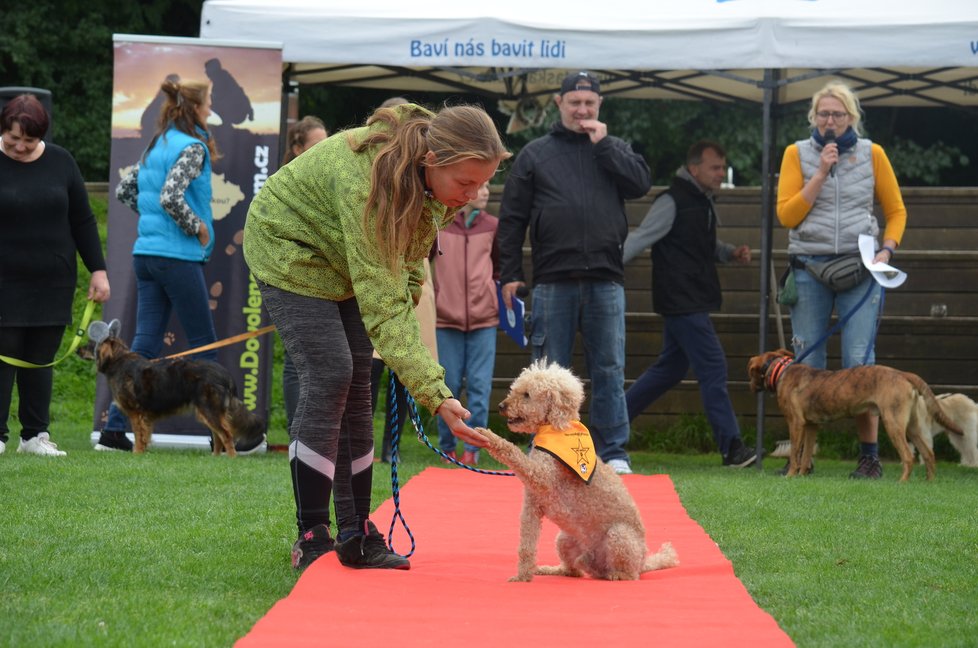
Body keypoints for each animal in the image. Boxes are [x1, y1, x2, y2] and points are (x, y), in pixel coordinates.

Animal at [90, 320, 264, 456]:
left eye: (92, 344)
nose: (82, 347)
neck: (119, 360)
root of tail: (226, 375)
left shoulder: (136, 413)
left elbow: (139, 436)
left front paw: (137, 453)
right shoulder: (144, 416)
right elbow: (145, 436)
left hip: (209, 409)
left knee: (226, 435)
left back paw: (231, 457)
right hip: (208, 411)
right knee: (218, 436)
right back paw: (214, 457)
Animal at [474, 360, 676, 584]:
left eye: (527, 394)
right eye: (514, 390)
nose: (501, 406)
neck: (553, 427)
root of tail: (643, 562)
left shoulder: (542, 478)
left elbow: (514, 452)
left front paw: (490, 437)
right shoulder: (531, 507)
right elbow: (526, 546)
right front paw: (523, 576)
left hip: (619, 536)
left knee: (629, 575)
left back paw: (617, 575)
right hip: (564, 539)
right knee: (572, 570)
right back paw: (550, 569)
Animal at [748, 350, 960, 480]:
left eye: (750, 373)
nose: (749, 386)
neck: (780, 370)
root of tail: (903, 374)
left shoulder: (796, 424)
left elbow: (794, 454)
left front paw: (791, 475)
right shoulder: (811, 426)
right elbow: (806, 455)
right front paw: (801, 475)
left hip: (893, 423)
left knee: (908, 457)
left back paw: (902, 482)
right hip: (912, 427)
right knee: (929, 454)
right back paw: (929, 481)